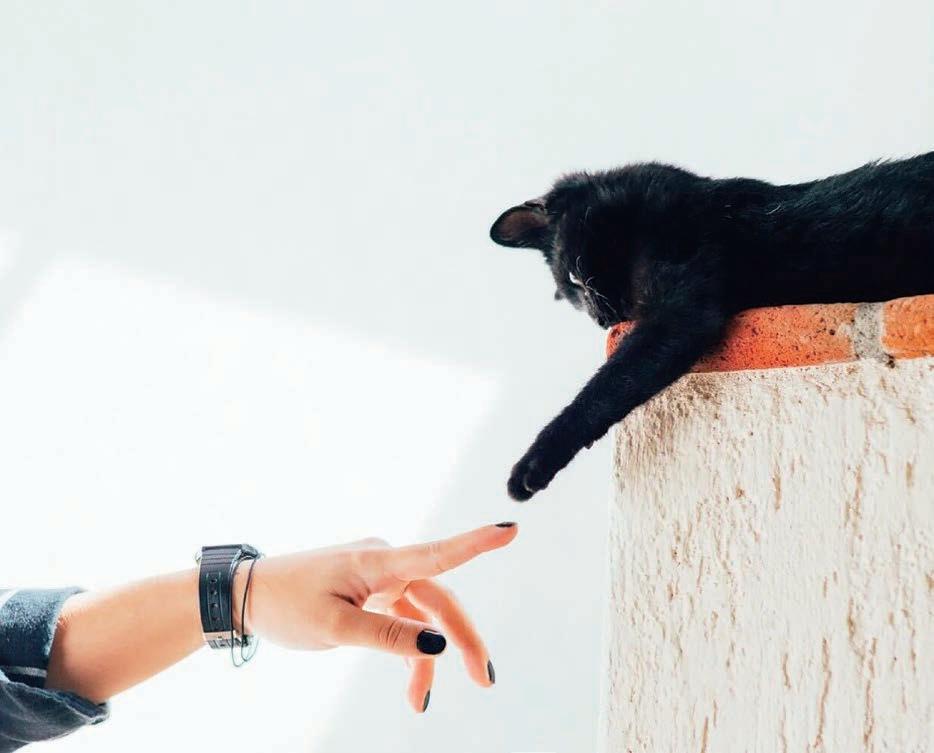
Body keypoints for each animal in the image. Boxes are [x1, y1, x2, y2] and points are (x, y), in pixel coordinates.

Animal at [491, 152, 934, 501]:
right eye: (573, 296)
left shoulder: (680, 312)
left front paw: (532, 464)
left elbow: (605, 388)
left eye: (578, 280)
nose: (604, 322)